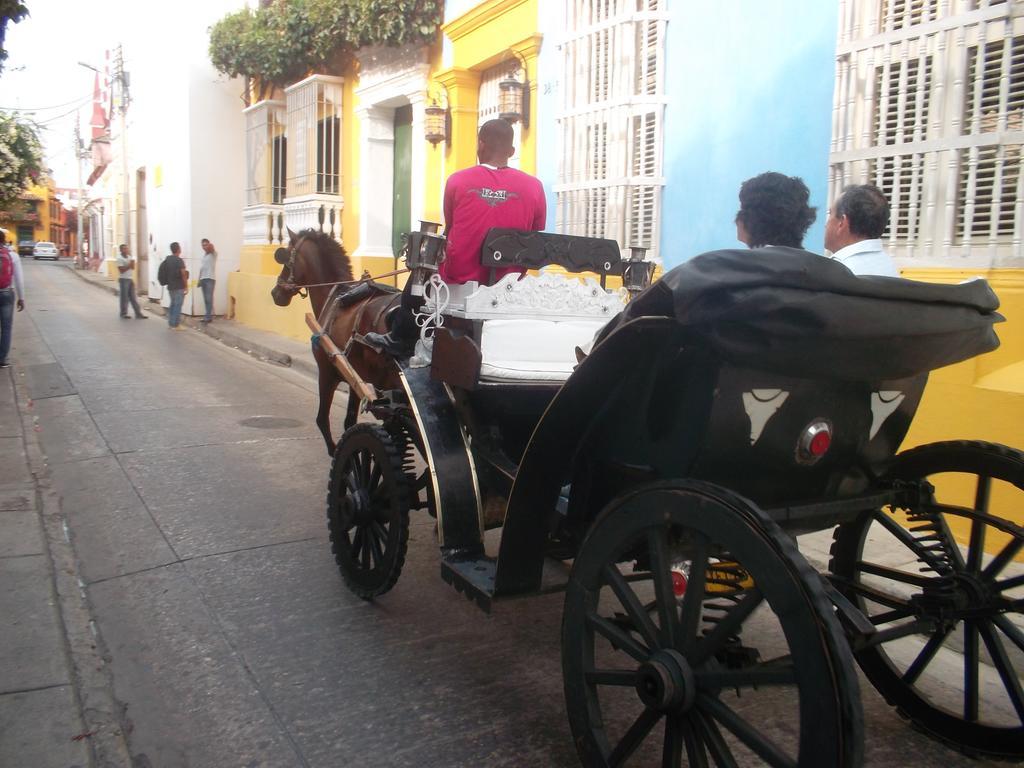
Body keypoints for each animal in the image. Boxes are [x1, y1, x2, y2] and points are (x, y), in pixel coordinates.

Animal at [272, 231, 403, 454]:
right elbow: (349, 421)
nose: (275, 293)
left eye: (286, 258)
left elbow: (322, 419)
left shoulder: (327, 372)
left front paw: (338, 454)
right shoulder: (356, 379)